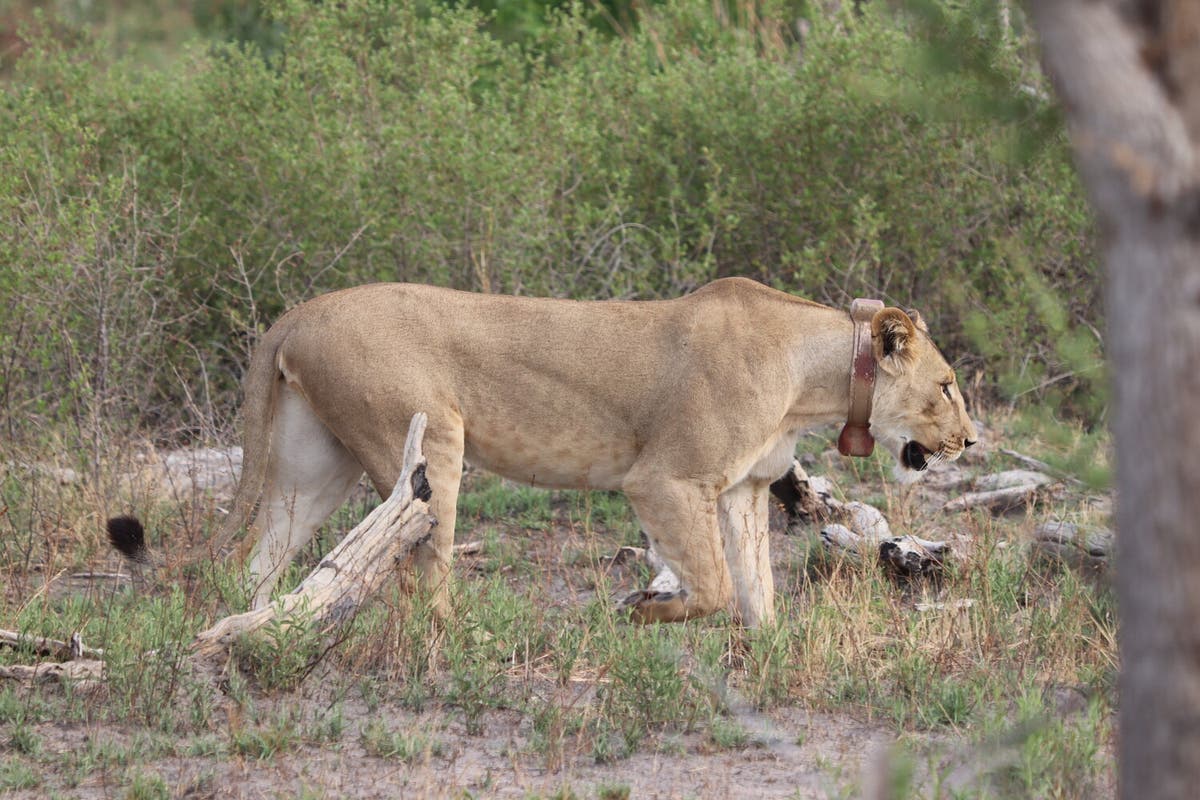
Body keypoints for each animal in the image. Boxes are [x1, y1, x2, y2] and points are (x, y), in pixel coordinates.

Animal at [116, 278, 976, 627]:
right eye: (947, 386)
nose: (971, 440)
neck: (816, 379)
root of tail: (295, 313)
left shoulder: (739, 489)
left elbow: (756, 590)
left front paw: (767, 654)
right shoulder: (663, 479)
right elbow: (711, 586)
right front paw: (644, 610)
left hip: (314, 464)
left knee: (254, 563)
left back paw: (257, 628)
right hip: (431, 445)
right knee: (423, 574)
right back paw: (461, 642)